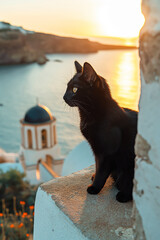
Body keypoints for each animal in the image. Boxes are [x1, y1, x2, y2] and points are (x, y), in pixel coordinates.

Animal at [63, 60, 138, 202]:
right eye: (66, 87)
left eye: (74, 89)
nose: (64, 97)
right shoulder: (97, 151)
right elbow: (97, 166)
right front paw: (94, 177)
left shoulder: (107, 153)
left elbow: (102, 171)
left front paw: (95, 187)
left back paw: (123, 195)